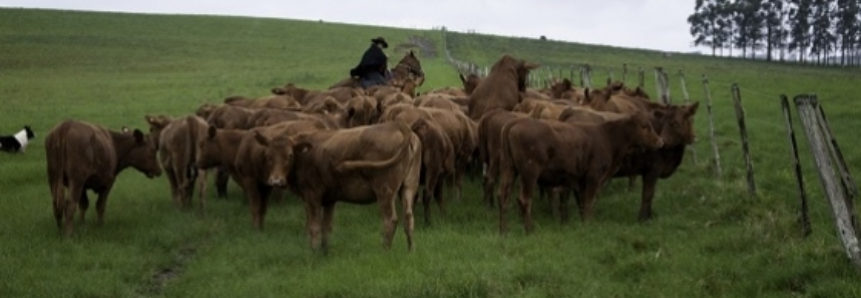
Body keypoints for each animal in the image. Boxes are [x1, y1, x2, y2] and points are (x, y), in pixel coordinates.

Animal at [494, 111, 660, 233]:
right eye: (644, 126)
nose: (660, 141)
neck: (606, 137)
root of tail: (516, 122)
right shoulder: (593, 177)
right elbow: (588, 202)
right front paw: (588, 224)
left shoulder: (580, 181)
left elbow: (582, 202)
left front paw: (583, 222)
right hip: (530, 174)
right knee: (524, 199)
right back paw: (530, 230)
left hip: (508, 169)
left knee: (503, 197)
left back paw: (504, 230)